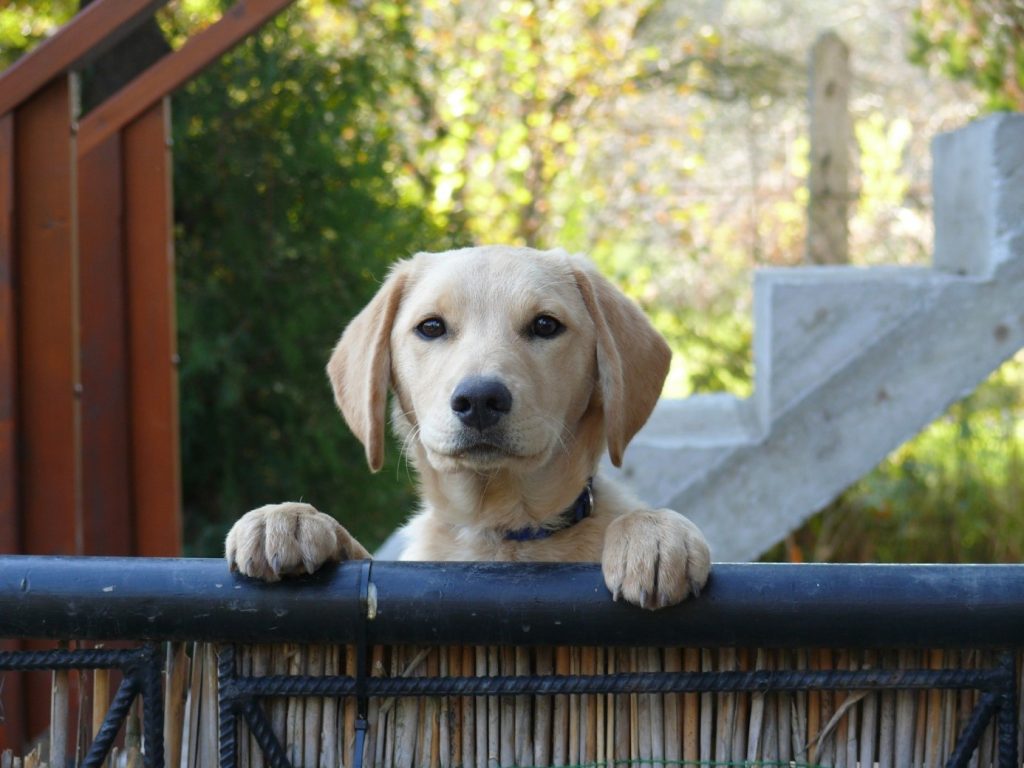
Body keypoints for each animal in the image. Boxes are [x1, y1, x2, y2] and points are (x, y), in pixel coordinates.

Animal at [225, 243, 708, 610]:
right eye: (431, 327)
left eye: (545, 325)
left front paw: (653, 533)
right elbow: (356, 548)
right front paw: (290, 517)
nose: (479, 400)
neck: (499, 532)